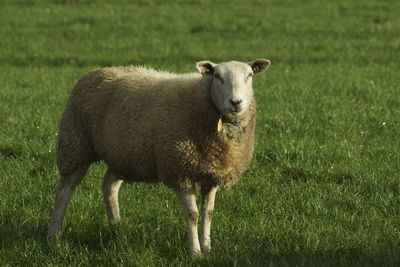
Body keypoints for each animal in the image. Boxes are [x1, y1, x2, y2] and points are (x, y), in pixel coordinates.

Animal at [47, 59, 272, 258]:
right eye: (217, 76)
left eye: (249, 75)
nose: (236, 102)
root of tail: (97, 71)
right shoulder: (179, 169)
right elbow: (192, 215)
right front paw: (195, 253)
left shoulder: (213, 173)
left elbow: (208, 213)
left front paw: (207, 248)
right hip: (75, 144)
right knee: (64, 190)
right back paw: (54, 234)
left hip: (124, 154)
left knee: (109, 185)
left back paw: (116, 225)